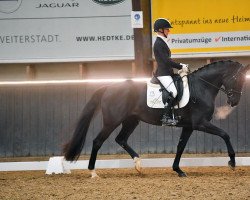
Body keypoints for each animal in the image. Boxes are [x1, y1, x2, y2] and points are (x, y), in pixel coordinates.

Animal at [63, 60, 249, 177]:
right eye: (237, 79)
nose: (234, 102)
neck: (201, 87)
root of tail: (108, 87)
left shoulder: (189, 126)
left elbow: (180, 147)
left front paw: (178, 170)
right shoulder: (200, 123)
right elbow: (225, 135)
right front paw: (232, 162)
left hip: (131, 121)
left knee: (121, 139)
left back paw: (138, 165)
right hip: (112, 122)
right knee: (97, 141)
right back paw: (93, 172)